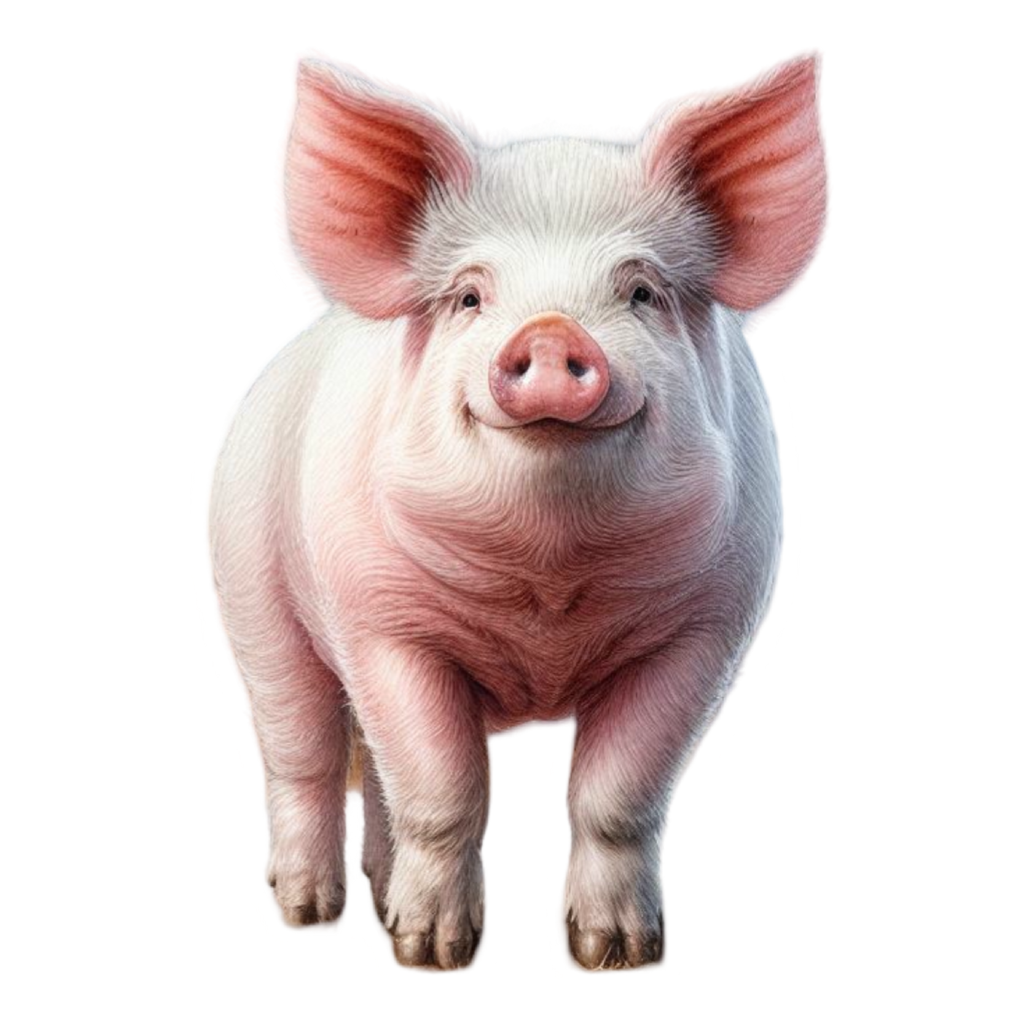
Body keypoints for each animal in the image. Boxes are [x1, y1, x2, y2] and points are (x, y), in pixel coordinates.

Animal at [203, 44, 832, 976]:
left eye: (642, 292)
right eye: (470, 296)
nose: (550, 333)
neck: (547, 595)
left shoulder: (709, 627)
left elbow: (618, 795)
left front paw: (617, 957)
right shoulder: (381, 623)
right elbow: (444, 788)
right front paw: (433, 959)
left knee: (374, 776)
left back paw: (377, 907)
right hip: (250, 592)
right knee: (302, 756)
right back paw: (309, 915)